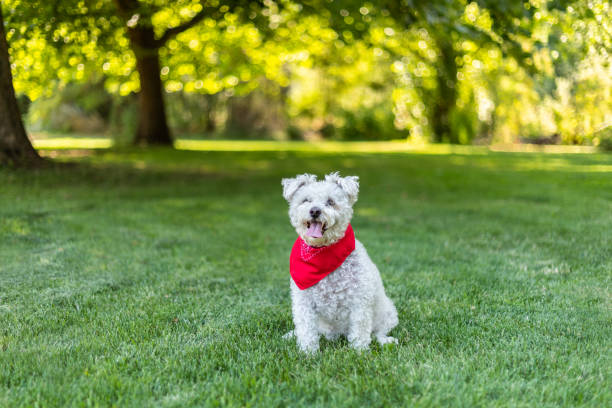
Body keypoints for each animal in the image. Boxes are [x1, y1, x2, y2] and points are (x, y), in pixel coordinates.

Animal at [280, 171, 400, 352]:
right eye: (306, 200)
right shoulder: (304, 302)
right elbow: (306, 330)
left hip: (388, 313)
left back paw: (386, 340)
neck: (322, 253)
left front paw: (360, 351)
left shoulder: (359, 301)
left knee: (379, 332)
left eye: (330, 202)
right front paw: (308, 352)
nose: (315, 211)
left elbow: (360, 330)